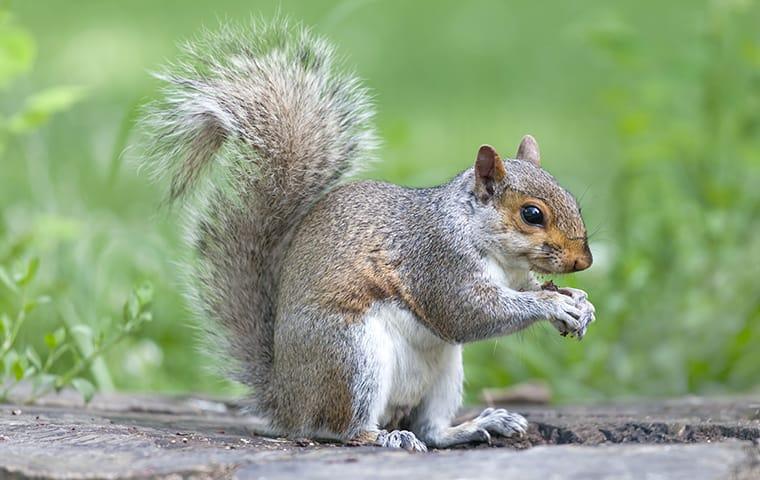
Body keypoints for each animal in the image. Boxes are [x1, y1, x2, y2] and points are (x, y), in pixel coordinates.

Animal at [141, 20, 592, 452]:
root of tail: (287, 402)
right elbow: (468, 313)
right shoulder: (437, 261)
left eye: (574, 200)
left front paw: (579, 302)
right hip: (352, 357)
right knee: (342, 428)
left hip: (444, 371)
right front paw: (552, 304)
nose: (583, 262)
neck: (492, 247)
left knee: (431, 430)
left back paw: (477, 425)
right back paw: (384, 437)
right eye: (532, 214)